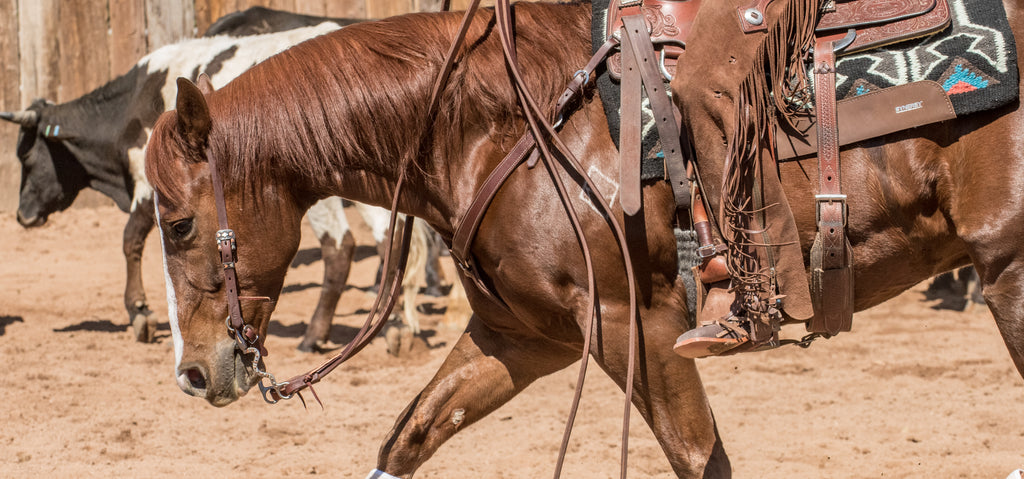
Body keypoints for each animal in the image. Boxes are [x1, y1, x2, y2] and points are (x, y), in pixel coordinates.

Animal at [148, 1, 1019, 476]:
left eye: (180, 221)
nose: (192, 372)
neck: (495, 125)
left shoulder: (635, 324)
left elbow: (699, 457)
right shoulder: (522, 336)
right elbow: (411, 434)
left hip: (1007, 270)